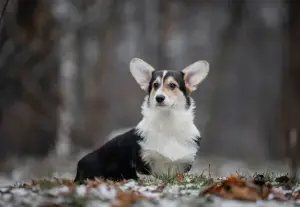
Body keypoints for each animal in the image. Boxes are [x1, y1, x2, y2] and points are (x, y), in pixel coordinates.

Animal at [73, 57, 209, 182]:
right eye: (155, 85)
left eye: (172, 85)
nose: (159, 98)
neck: (167, 121)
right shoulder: (143, 162)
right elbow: (150, 176)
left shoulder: (182, 165)